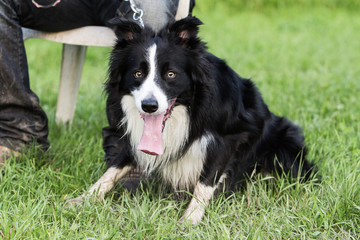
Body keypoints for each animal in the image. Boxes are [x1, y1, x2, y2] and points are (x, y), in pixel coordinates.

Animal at [69, 16, 316, 223]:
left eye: (171, 74)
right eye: (138, 74)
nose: (149, 106)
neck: (186, 109)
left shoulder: (229, 135)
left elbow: (206, 180)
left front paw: (189, 220)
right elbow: (113, 167)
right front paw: (81, 200)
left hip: (285, 142)